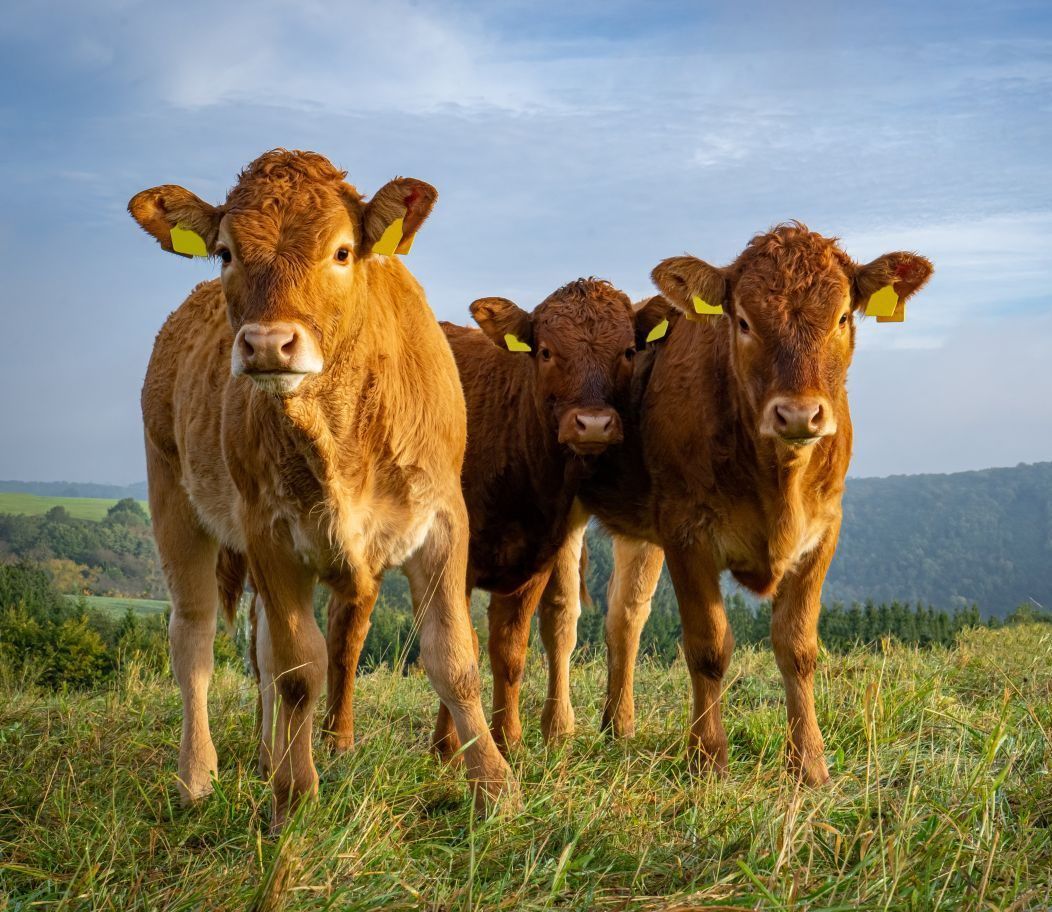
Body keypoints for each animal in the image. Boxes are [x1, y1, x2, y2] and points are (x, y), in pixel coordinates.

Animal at [129, 148, 515, 828]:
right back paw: (198, 775)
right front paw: (295, 793)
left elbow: (454, 658)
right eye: (225, 252)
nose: (266, 343)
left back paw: (264, 755)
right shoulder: (268, 531)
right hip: (172, 498)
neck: (338, 433)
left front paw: (495, 787)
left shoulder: (443, 520)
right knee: (195, 638)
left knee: (256, 644)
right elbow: (299, 669)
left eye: (341, 251)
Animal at [547, 225, 934, 782]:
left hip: (642, 531)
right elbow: (708, 645)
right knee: (562, 617)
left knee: (625, 615)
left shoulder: (823, 531)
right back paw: (558, 730)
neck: (778, 482)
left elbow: (798, 647)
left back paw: (618, 726)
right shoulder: (687, 533)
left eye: (842, 316)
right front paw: (708, 758)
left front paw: (809, 764)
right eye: (744, 321)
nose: (798, 414)